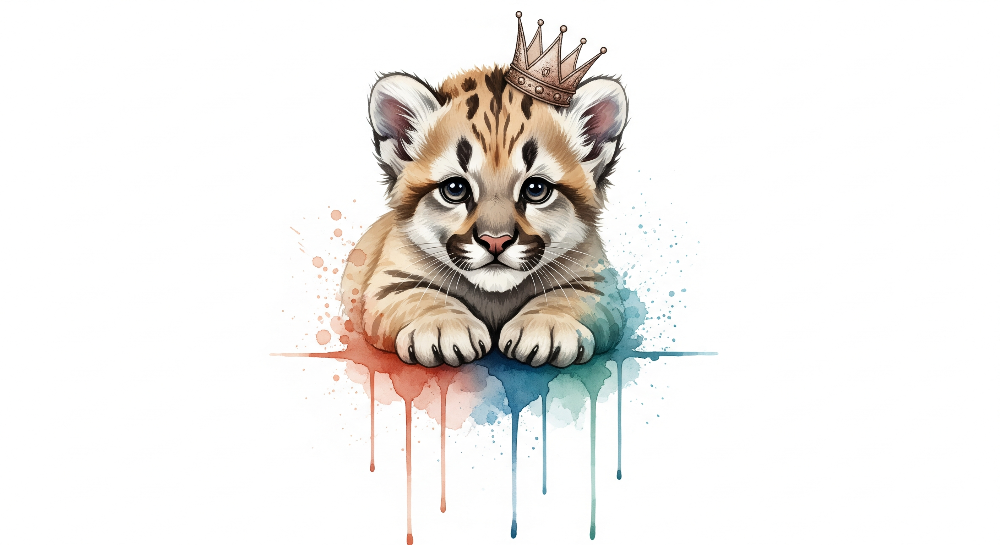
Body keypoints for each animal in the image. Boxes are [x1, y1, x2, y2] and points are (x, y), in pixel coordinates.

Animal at [339, 66, 628, 368]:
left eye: (536, 189)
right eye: (455, 189)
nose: (495, 241)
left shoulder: (598, 283)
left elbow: (567, 296)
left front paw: (547, 325)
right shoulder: (390, 280)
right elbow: (421, 296)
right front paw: (444, 326)